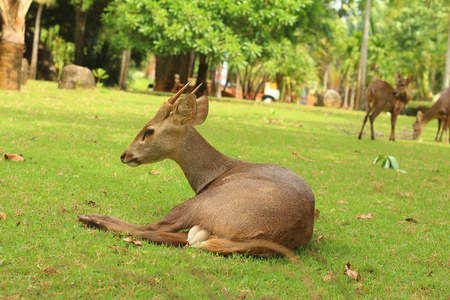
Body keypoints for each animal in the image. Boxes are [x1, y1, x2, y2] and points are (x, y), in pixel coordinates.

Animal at [77, 82, 314, 258]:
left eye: (149, 130)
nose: (124, 155)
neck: (213, 172)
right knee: (178, 237)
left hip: (202, 204)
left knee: (154, 228)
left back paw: (90, 218)